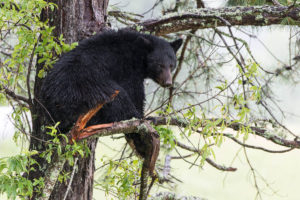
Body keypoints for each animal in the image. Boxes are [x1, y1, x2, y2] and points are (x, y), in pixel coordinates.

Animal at [40, 29, 182, 159]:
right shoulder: (128, 70)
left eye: (171, 65)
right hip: (88, 88)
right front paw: (144, 117)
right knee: (119, 98)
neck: (137, 54)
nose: (168, 82)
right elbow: (134, 92)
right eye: (159, 65)